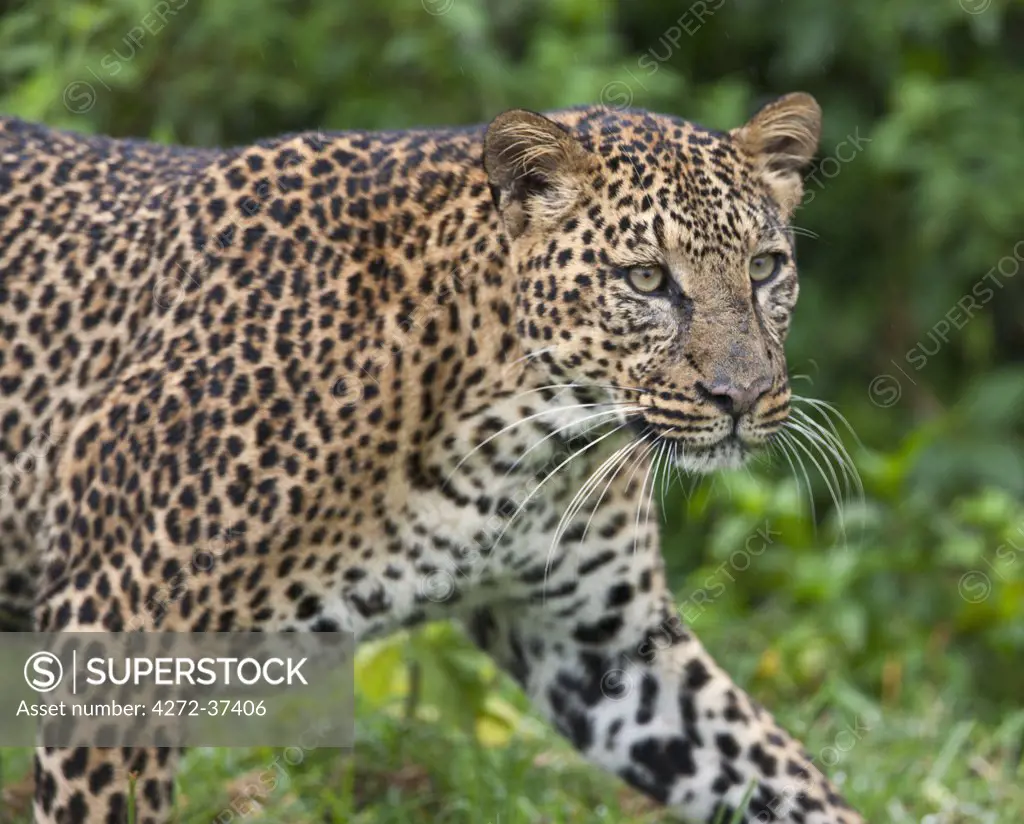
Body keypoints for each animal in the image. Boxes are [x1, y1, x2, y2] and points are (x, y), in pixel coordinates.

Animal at [0, 93, 864, 818]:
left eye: (765, 267)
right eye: (647, 279)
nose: (743, 397)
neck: (519, 435)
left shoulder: (602, 644)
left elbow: (774, 770)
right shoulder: (111, 628)